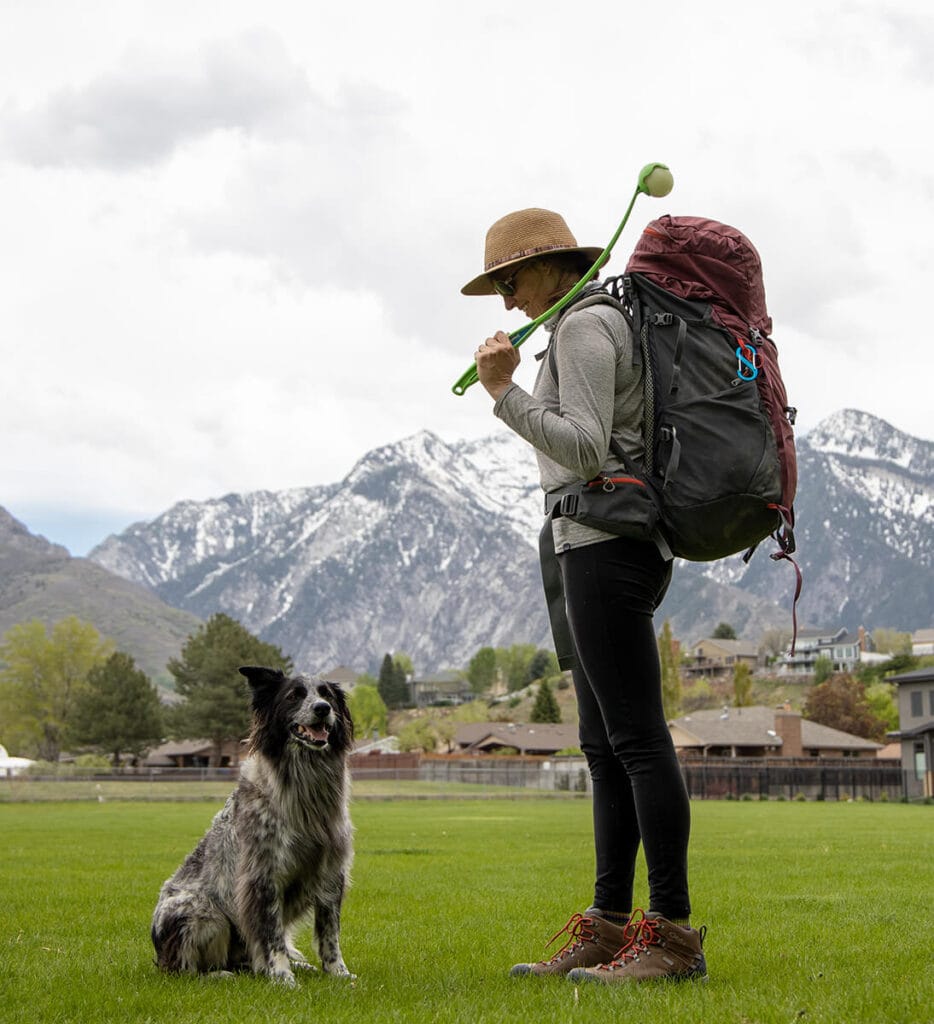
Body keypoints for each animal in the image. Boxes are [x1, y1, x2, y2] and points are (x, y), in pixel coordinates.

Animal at [151, 663, 356, 983]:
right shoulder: (263, 875)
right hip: (202, 914)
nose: (322, 709)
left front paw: (337, 972)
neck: (304, 790)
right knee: (183, 969)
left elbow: (330, 933)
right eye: (294, 695)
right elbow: (272, 935)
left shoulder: (331, 872)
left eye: (327, 695)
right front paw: (282, 976)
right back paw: (219, 975)